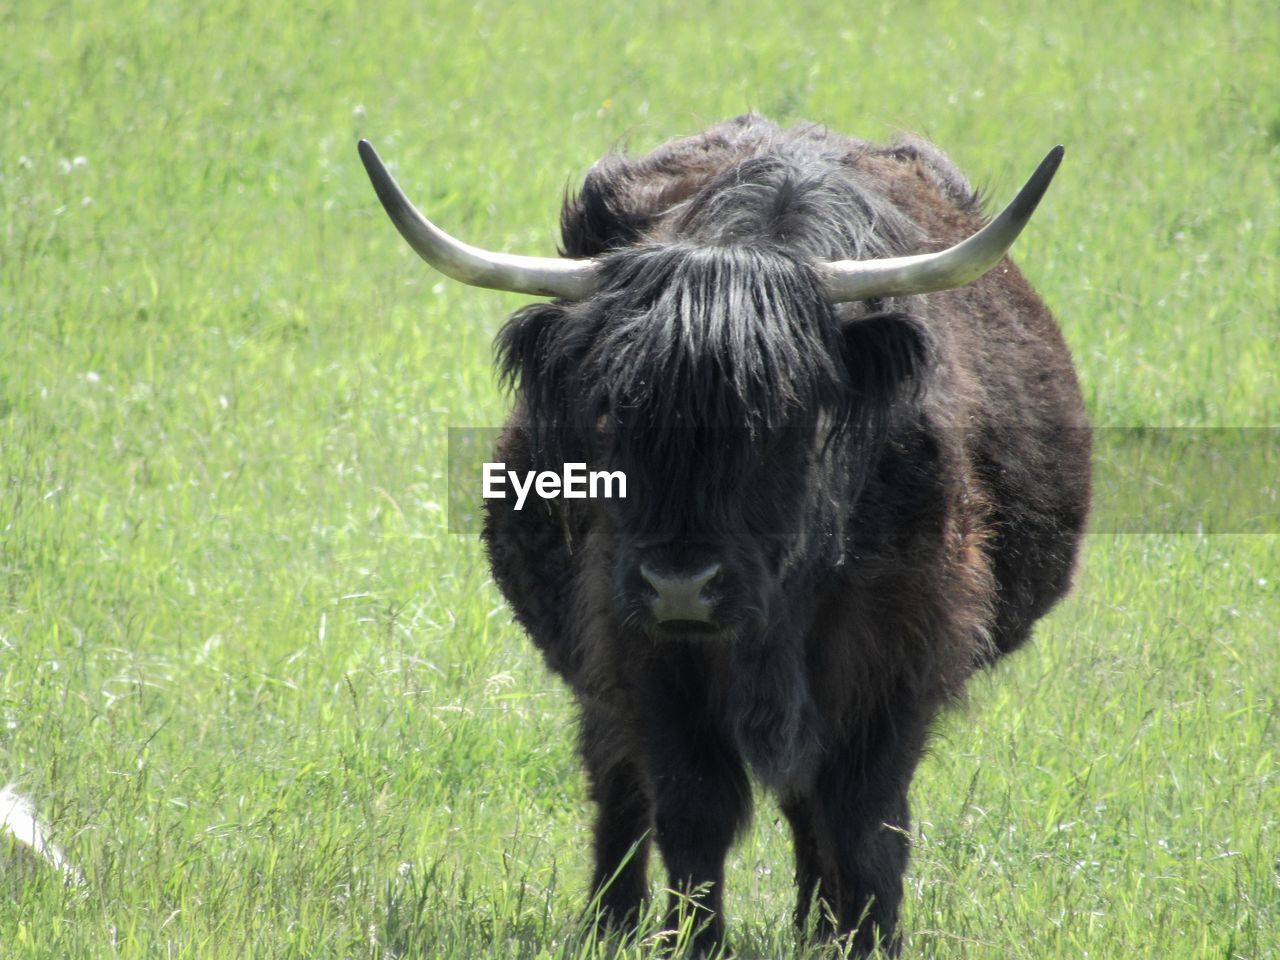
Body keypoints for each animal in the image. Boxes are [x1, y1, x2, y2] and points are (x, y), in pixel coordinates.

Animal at [358, 116, 1090, 957]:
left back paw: (816, 929)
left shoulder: (898, 657)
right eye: (609, 413)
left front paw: (869, 940)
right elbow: (692, 810)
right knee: (618, 784)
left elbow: (866, 821)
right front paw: (692, 941)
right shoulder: (641, 652)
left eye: (783, 416)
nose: (681, 586)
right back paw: (611, 921)